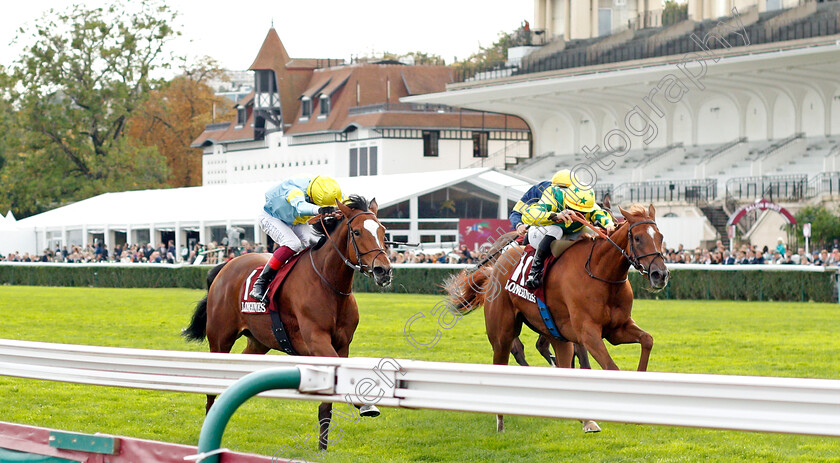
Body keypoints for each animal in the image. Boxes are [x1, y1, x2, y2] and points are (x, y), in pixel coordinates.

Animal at [182, 196, 392, 450]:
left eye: (383, 231)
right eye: (358, 232)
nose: (383, 270)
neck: (329, 284)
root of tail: (224, 267)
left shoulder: (343, 344)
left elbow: (329, 399)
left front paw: (324, 446)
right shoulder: (315, 341)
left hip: (258, 342)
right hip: (220, 339)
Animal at [446, 205, 668, 434]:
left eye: (660, 236)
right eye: (638, 238)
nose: (660, 274)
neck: (601, 272)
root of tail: (494, 268)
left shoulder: (617, 328)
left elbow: (647, 340)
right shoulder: (588, 333)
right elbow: (610, 367)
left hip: (555, 333)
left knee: (556, 356)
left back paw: (583, 418)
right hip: (502, 333)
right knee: (508, 354)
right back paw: (501, 421)